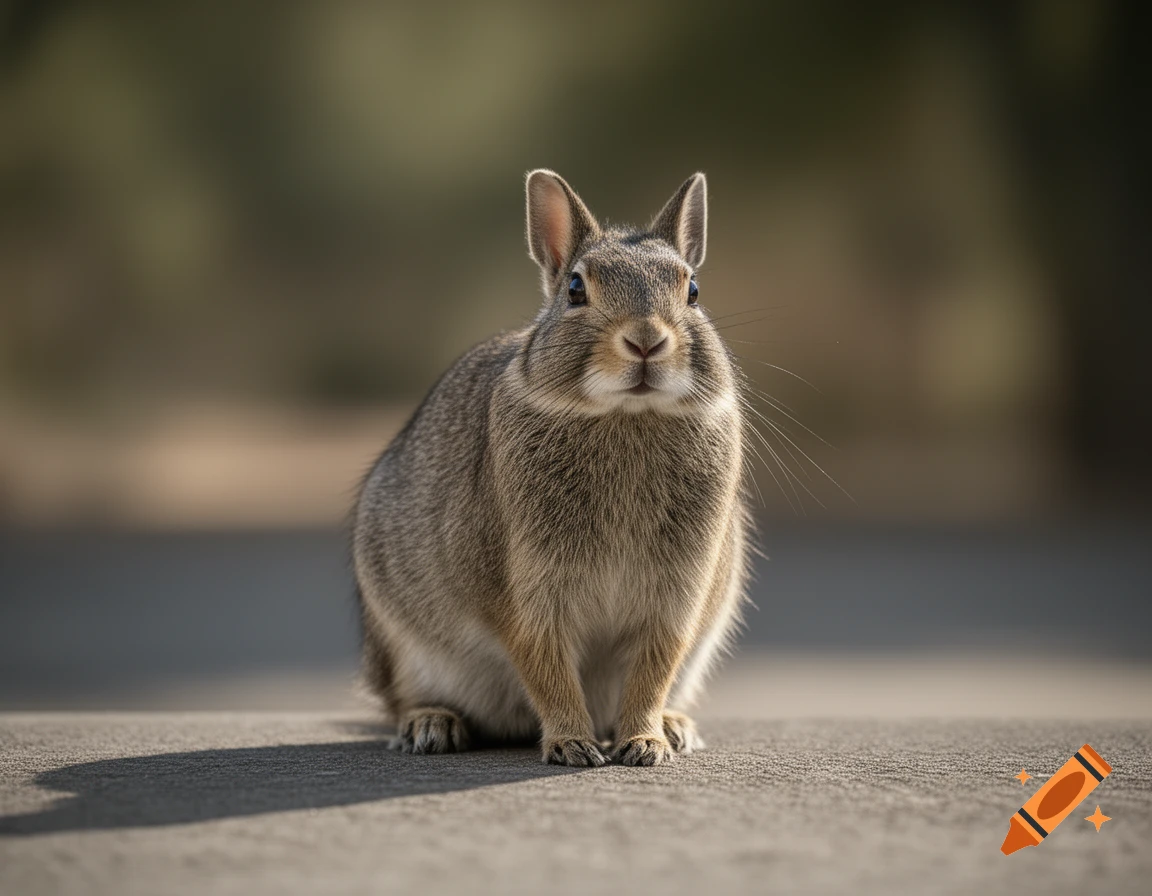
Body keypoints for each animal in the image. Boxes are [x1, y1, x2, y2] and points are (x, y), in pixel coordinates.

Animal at [352, 169, 750, 766]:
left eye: (693, 290)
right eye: (576, 290)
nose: (646, 341)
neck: (624, 414)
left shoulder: (675, 597)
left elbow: (652, 670)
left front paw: (645, 744)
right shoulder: (526, 593)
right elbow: (547, 666)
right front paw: (573, 745)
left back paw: (676, 725)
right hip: (402, 643)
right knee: (402, 699)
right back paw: (432, 725)